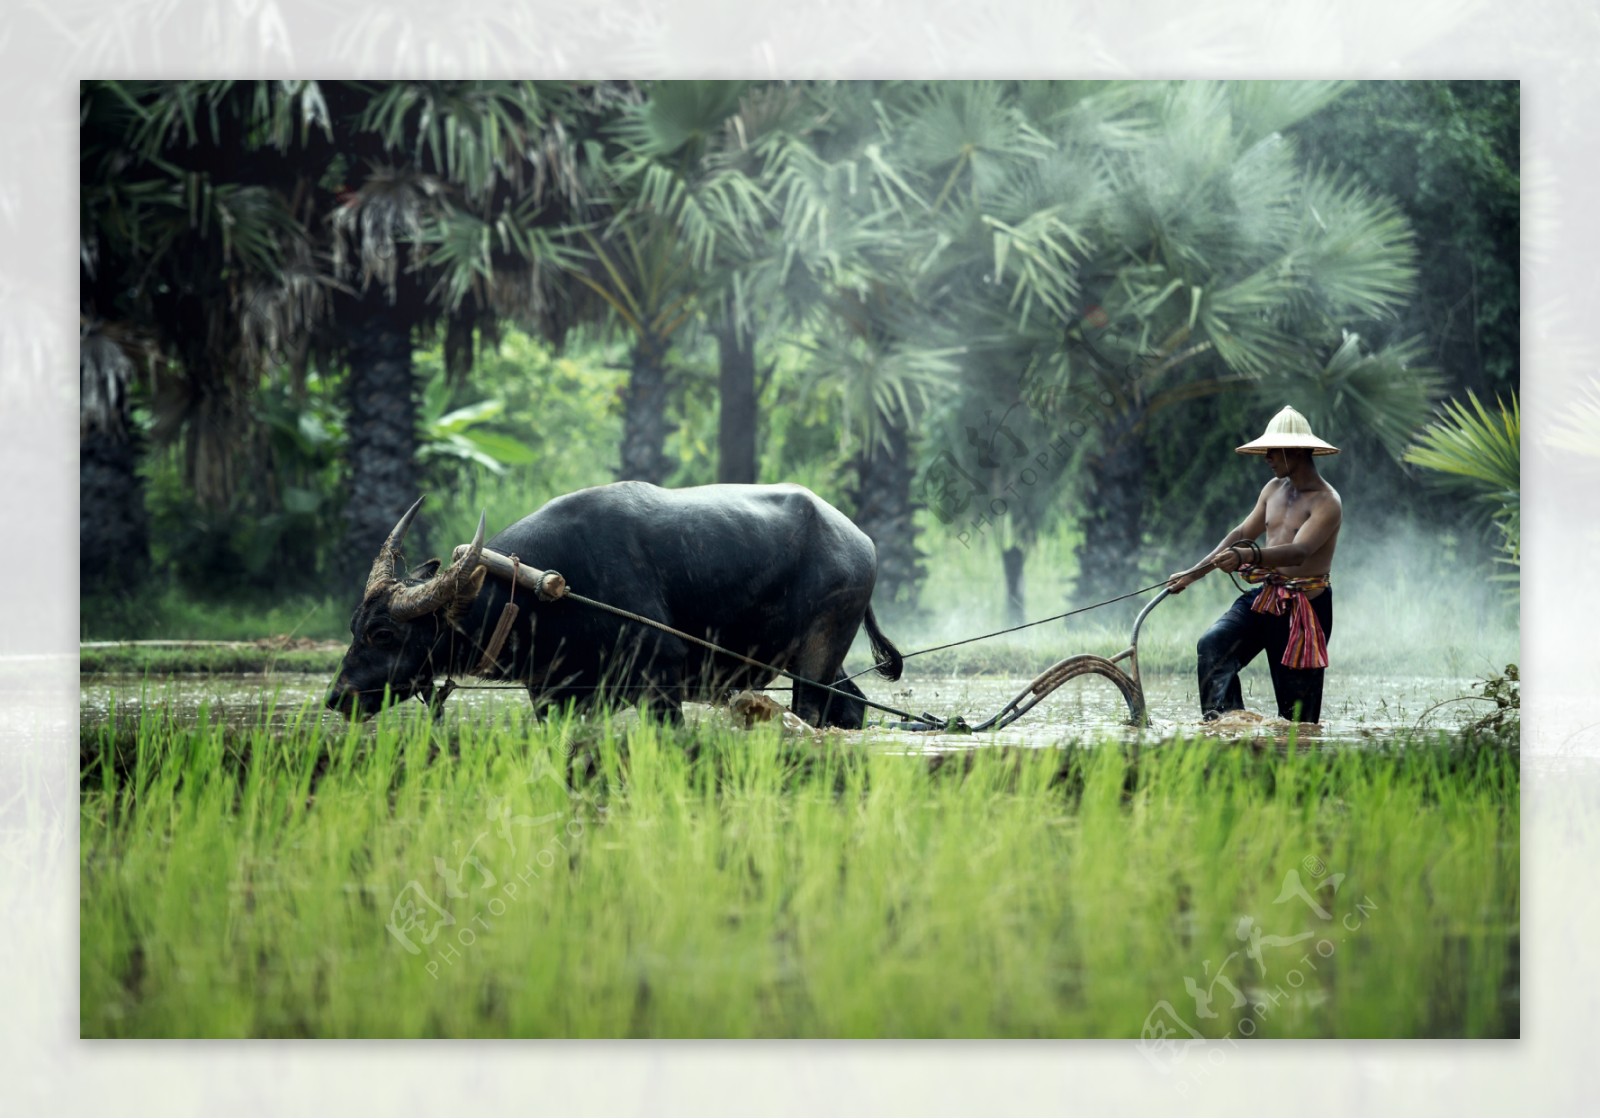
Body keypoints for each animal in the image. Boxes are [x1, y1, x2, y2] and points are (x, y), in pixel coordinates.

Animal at [324, 480, 902, 726]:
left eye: (384, 633)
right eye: (353, 626)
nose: (336, 697)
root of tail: (862, 540)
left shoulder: (661, 683)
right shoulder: (555, 696)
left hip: (818, 653)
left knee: (813, 711)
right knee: (849, 707)